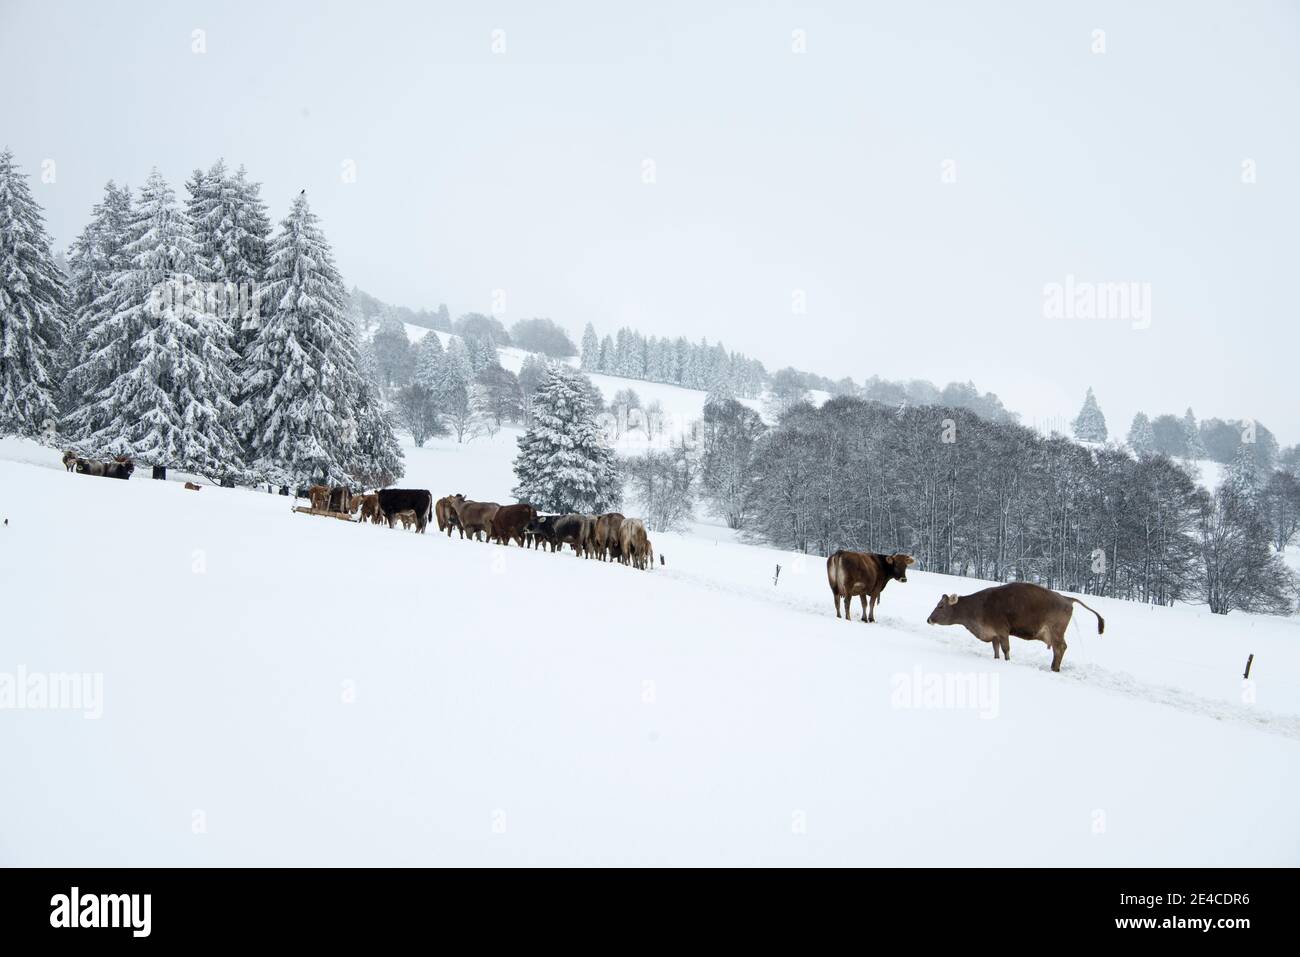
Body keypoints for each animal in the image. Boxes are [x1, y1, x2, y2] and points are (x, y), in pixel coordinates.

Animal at [925, 582, 1107, 670]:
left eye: (941, 606)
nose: (929, 619)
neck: (978, 606)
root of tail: (1067, 598)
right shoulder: (994, 635)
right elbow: (996, 650)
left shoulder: (1003, 631)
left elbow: (1006, 649)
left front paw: (1007, 662)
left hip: (1055, 632)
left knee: (1060, 648)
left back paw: (1054, 668)